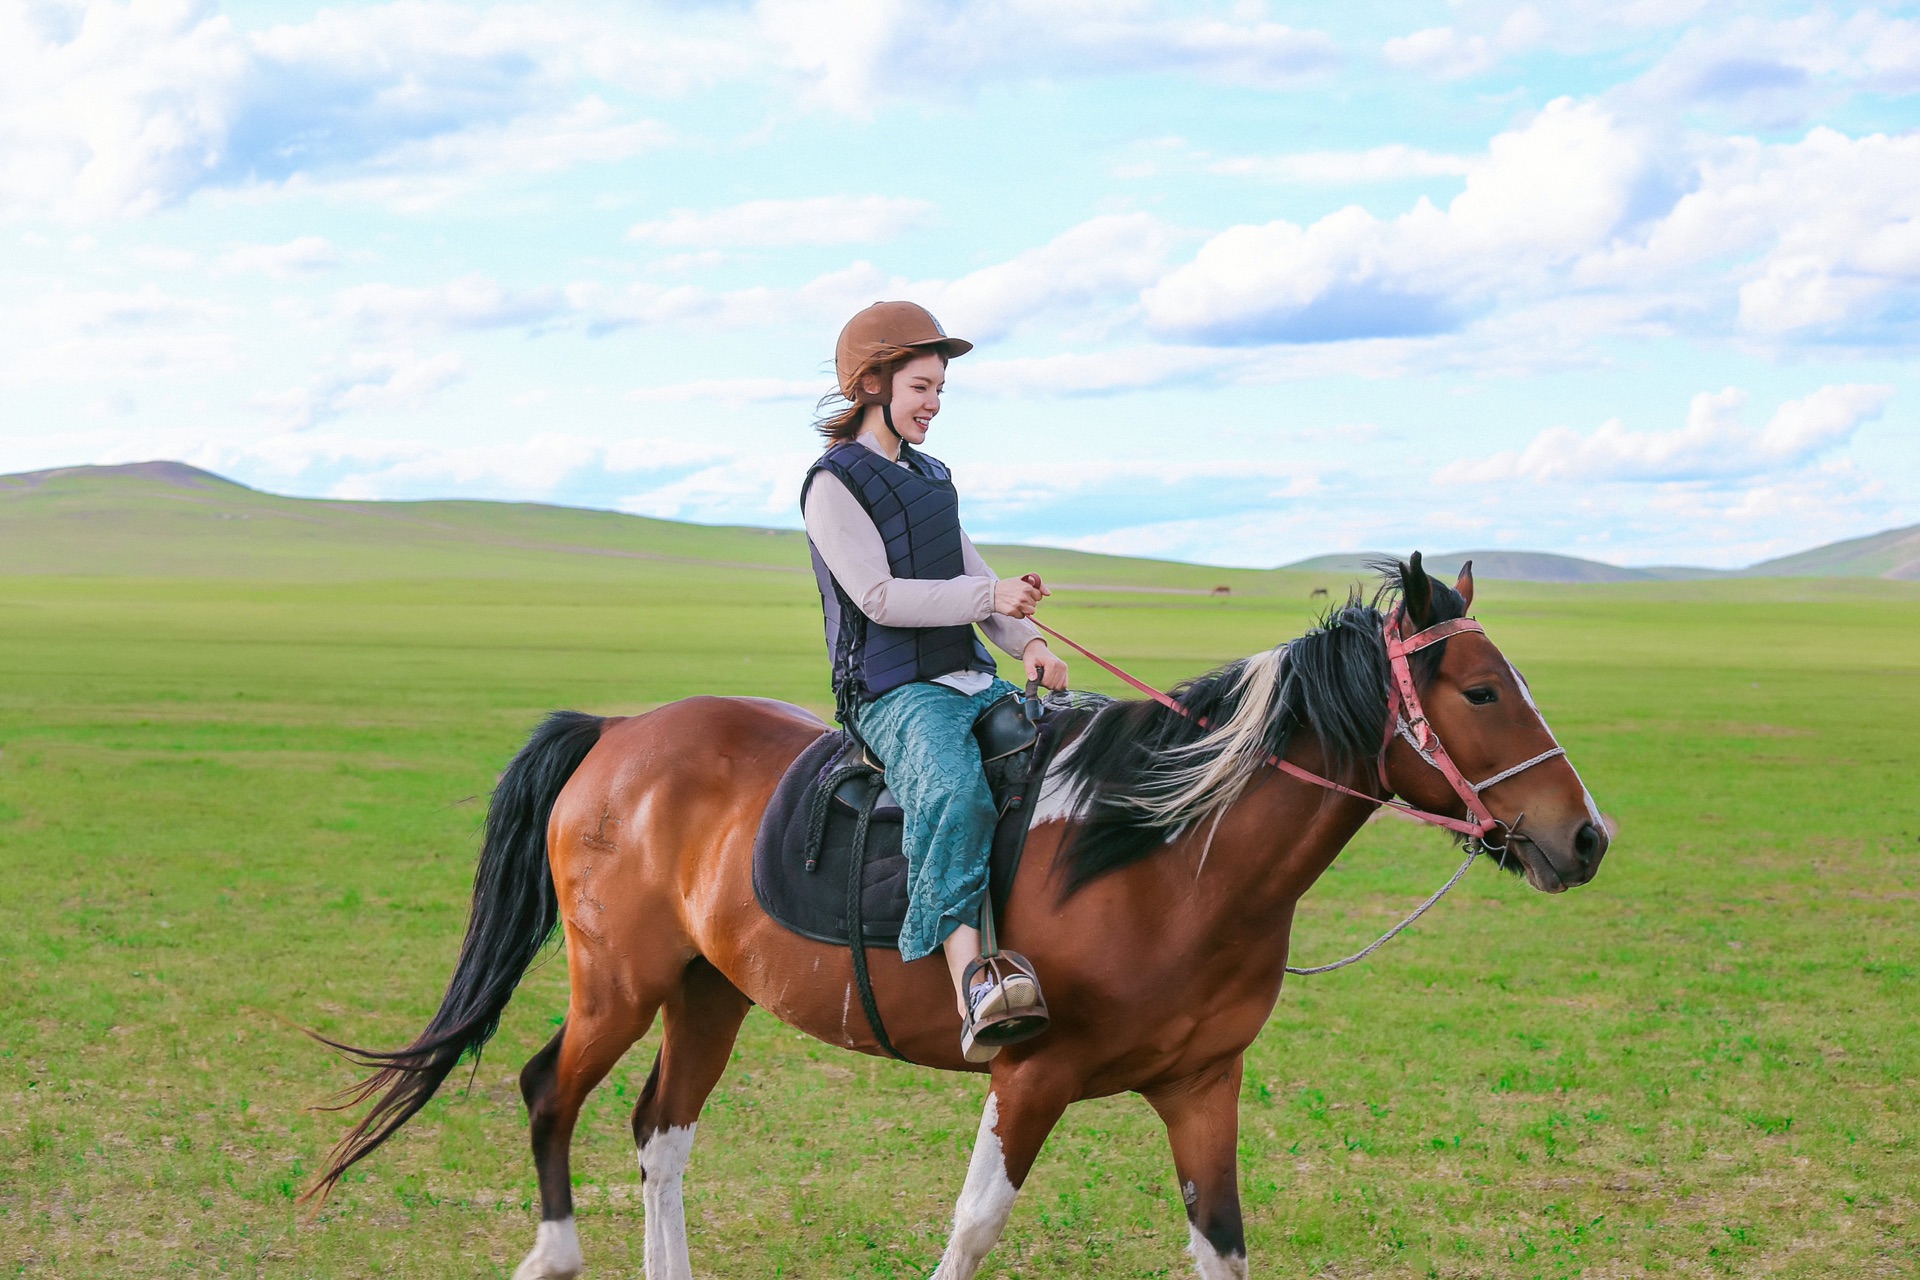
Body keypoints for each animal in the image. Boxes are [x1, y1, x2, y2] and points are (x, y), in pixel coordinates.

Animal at [311, 556, 1605, 1280]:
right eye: (1480, 688)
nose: (1586, 836)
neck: (1169, 856)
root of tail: (620, 732)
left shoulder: (1202, 1084)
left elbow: (1223, 1240)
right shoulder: (1031, 1075)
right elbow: (977, 1228)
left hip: (706, 989)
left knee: (660, 1130)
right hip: (619, 979)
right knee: (549, 1090)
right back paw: (555, 1251)